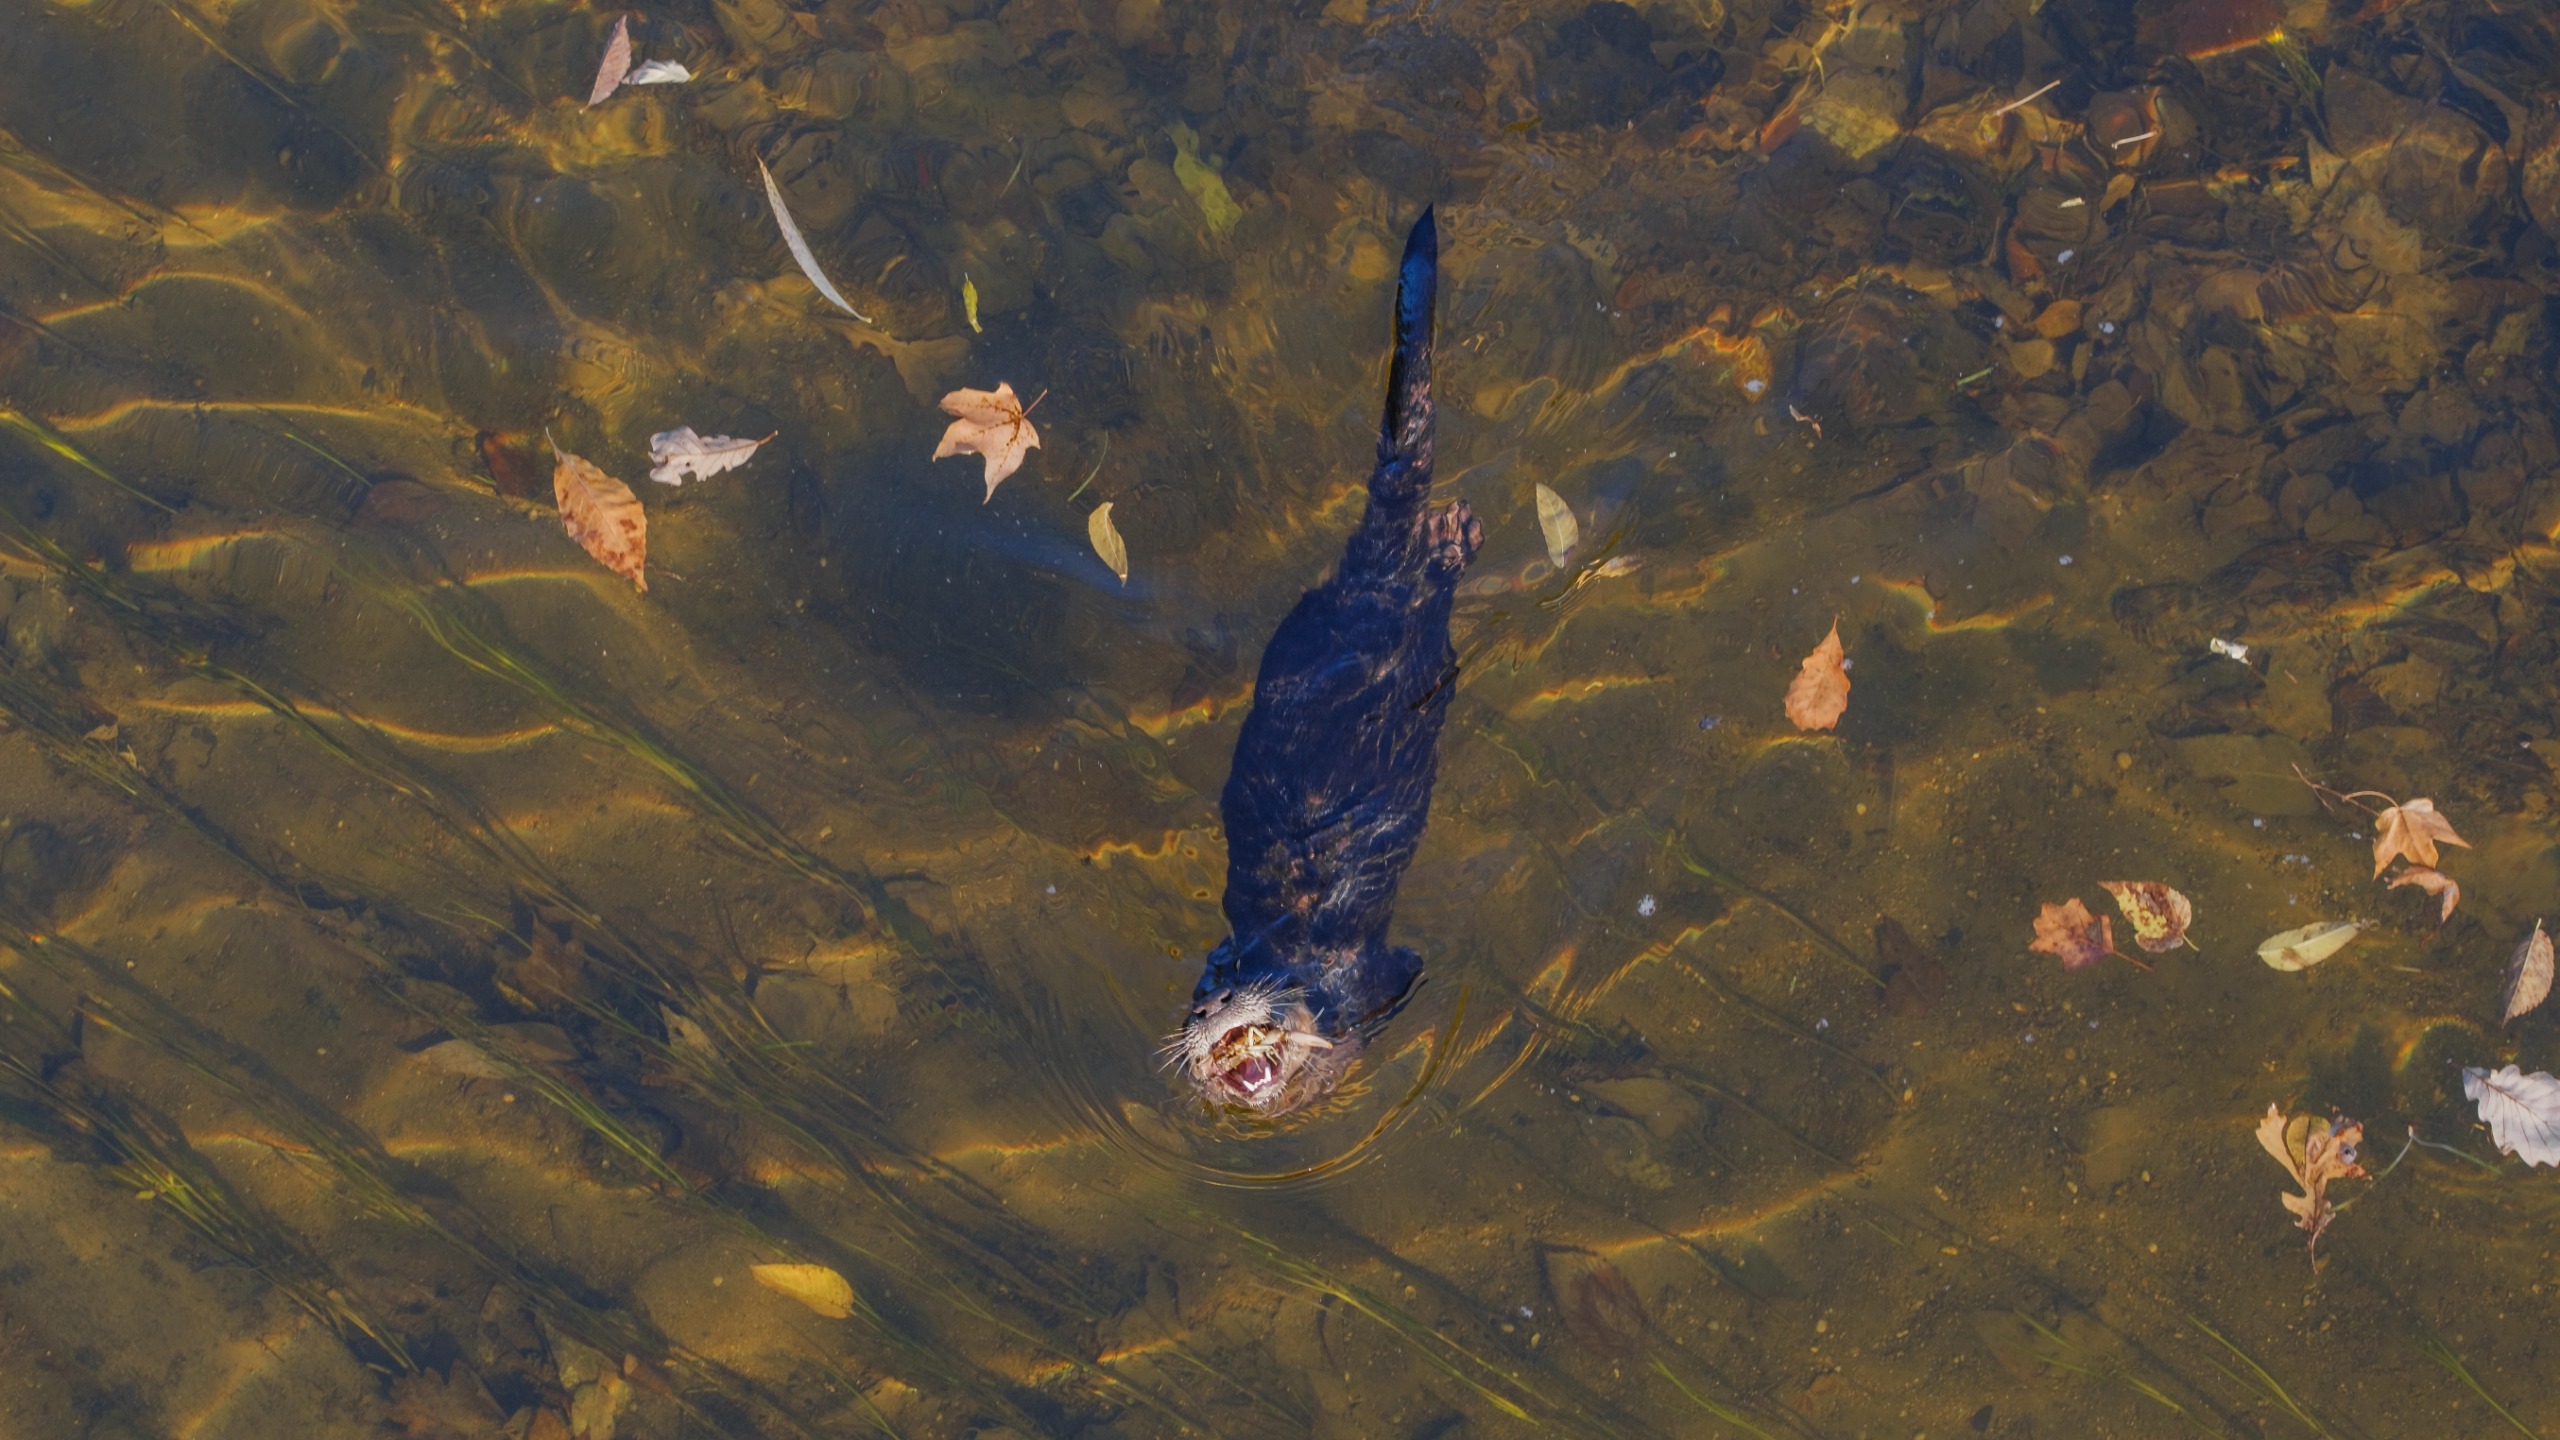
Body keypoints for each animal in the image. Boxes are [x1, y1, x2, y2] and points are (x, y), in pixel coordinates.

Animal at [1165, 210, 1480, 1116]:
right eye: (1196, 1004)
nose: (1218, 1013)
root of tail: (1362, 576)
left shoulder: (1374, 977)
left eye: (1231, 992)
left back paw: (1452, 530)